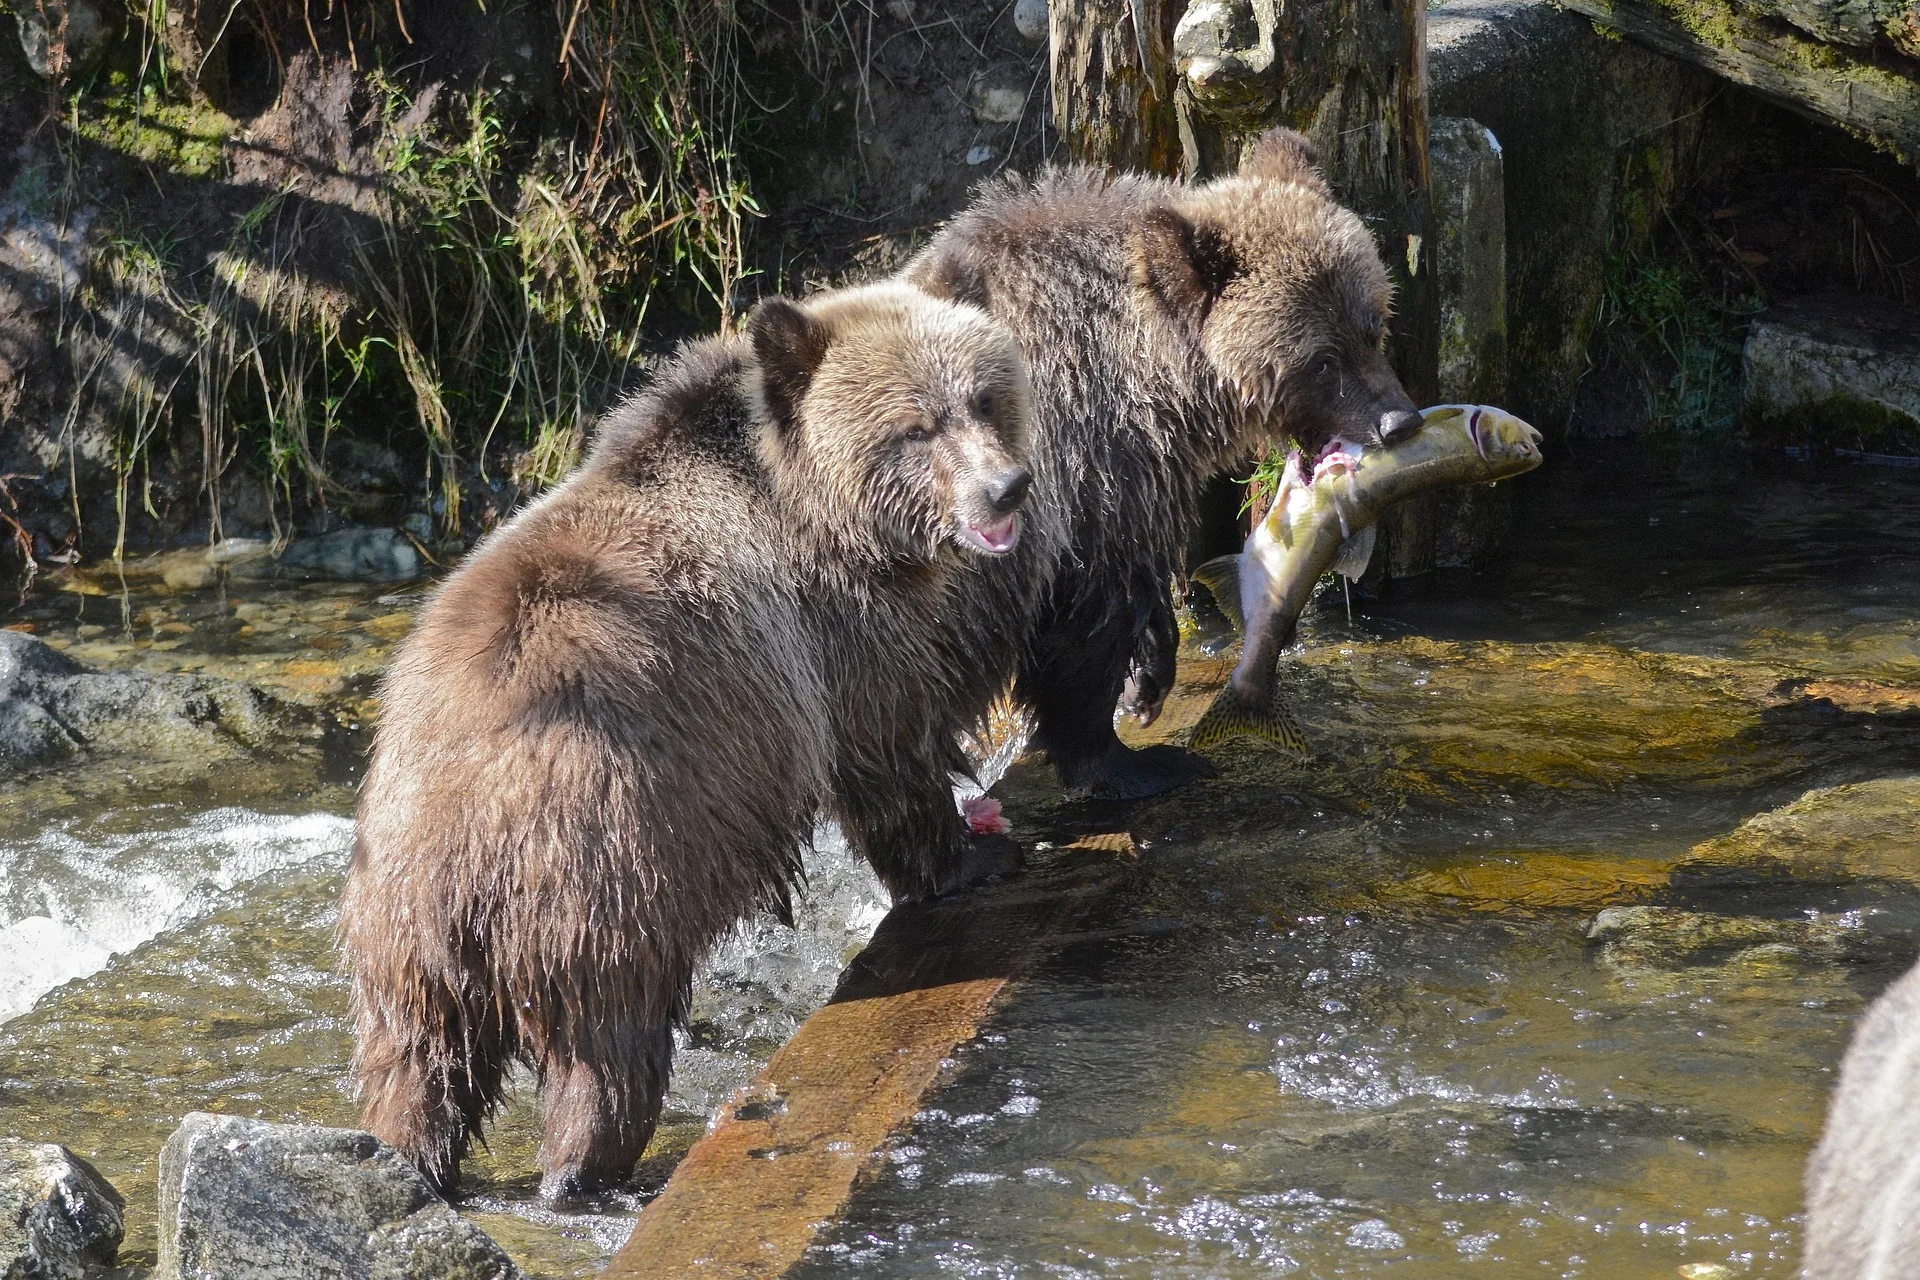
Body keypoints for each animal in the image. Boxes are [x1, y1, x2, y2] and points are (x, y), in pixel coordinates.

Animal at [339, 280, 1039, 1203]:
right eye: (915, 427)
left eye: (987, 398)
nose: (1006, 488)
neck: (809, 501)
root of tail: (461, 840)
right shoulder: (831, 634)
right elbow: (887, 753)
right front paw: (974, 852)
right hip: (604, 864)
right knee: (611, 1041)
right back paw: (585, 1170)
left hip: (400, 927)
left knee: (416, 1064)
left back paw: (410, 1159)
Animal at [903, 127, 1423, 799]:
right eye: (1323, 360)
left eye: (1374, 325)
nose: (1399, 421)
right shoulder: (1082, 468)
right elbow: (1085, 620)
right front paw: (1128, 758)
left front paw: (1148, 676)